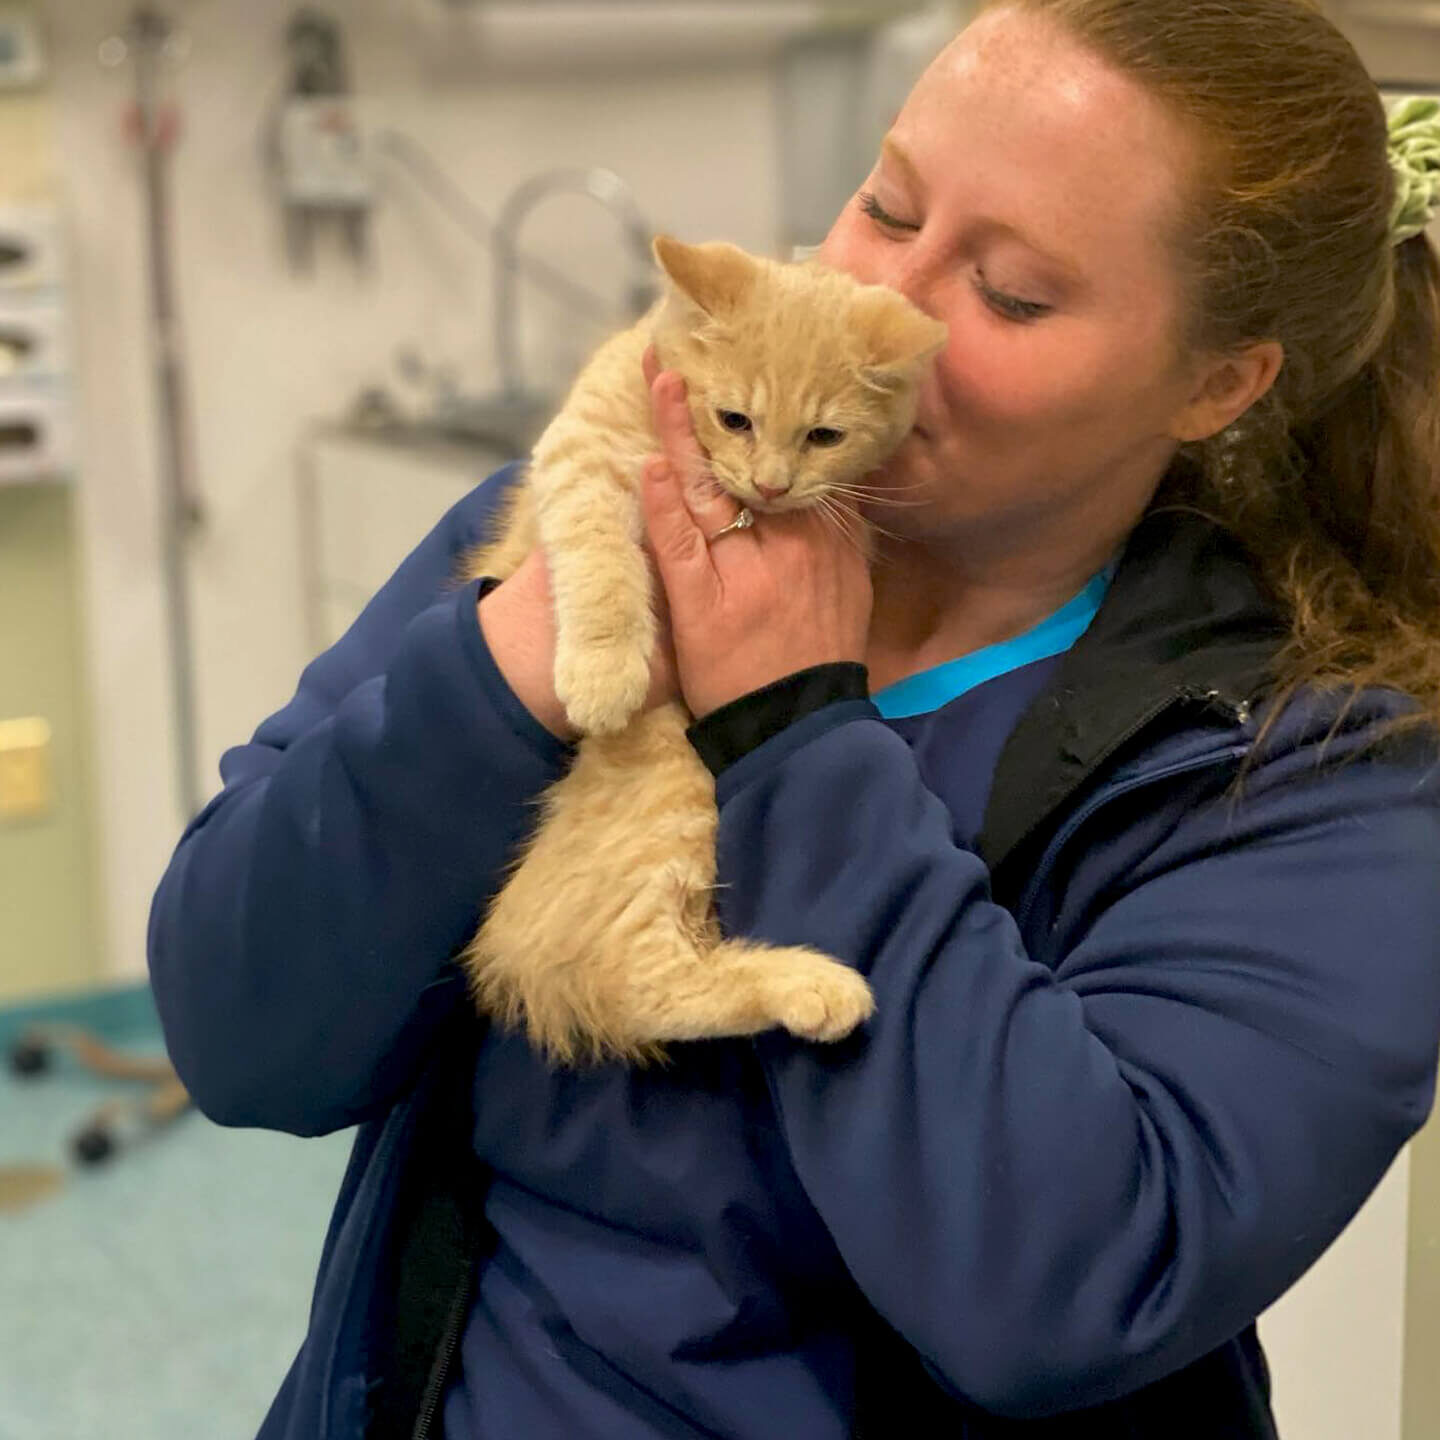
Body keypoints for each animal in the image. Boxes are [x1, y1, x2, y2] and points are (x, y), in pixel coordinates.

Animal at [460, 236, 944, 1065]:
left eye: (824, 436)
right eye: (734, 418)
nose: (771, 486)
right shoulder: (585, 447)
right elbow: (598, 553)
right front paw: (602, 666)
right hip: (670, 781)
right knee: (638, 975)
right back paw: (811, 984)